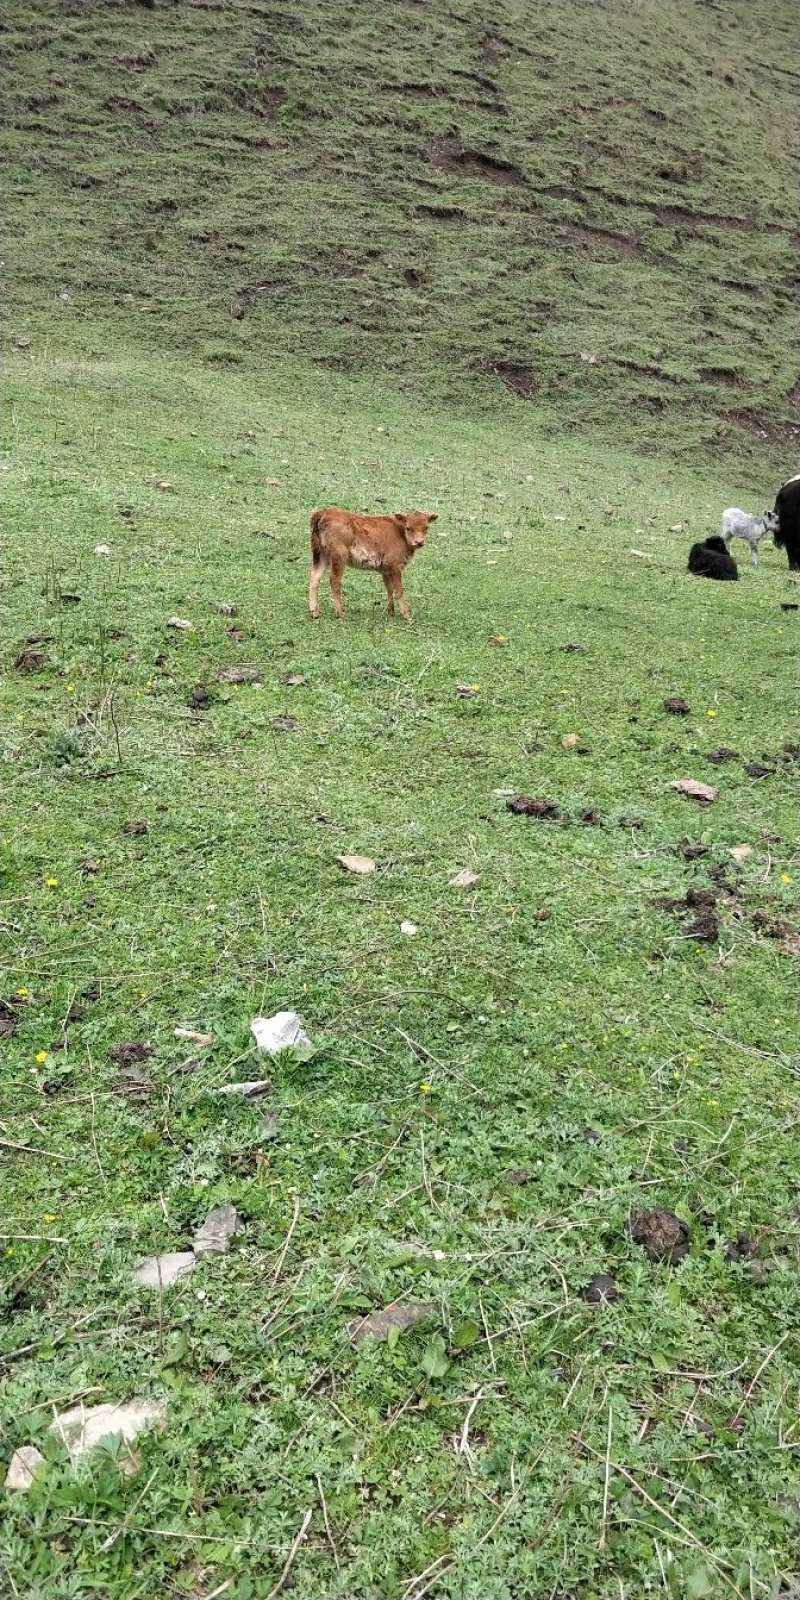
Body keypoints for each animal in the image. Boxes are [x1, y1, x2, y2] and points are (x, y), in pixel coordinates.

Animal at [307, 508, 438, 620]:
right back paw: (340, 612)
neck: (400, 533)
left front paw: (391, 611)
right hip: (339, 556)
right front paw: (406, 616)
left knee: (315, 577)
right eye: (408, 528)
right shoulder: (394, 566)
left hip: (321, 554)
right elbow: (399, 590)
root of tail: (323, 512)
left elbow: (389, 588)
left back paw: (315, 612)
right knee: (334, 580)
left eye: (426, 527)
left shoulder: (386, 569)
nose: (419, 542)